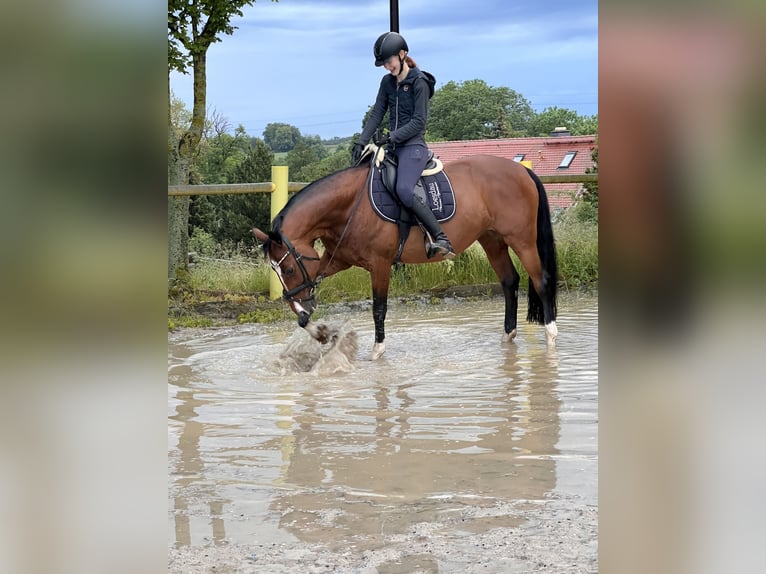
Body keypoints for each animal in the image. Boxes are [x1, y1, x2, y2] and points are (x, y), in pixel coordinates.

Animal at [252, 153, 560, 360]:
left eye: (289, 270)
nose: (303, 310)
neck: (349, 205)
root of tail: (520, 170)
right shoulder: (335, 260)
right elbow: (311, 305)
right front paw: (319, 332)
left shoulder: (380, 264)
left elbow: (378, 308)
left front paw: (377, 352)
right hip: (492, 239)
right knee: (509, 281)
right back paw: (508, 336)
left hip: (521, 240)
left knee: (541, 280)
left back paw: (551, 335)